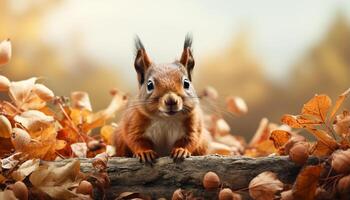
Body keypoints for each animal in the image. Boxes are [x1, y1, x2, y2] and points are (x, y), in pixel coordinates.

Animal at [115, 34, 208, 162]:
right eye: (149, 85)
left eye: (186, 83)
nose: (171, 100)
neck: (166, 119)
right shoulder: (133, 123)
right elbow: (135, 140)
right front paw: (145, 152)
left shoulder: (194, 124)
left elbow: (190, 139)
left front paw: (181, 150)